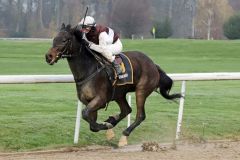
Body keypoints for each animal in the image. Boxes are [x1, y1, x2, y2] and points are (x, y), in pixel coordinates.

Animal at [45, 23, 181, 146]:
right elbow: (90, 122)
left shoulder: (100, 99)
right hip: (119, 94)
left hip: (142, 90)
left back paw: (124, 135)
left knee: (140, 115)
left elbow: (86, 115)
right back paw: (112, 121)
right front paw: (108, 125)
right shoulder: (88, 101)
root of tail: (153, 64)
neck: (89, 70)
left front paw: (106, 126)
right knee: (127, 110)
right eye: (54, 39)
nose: (48, 56)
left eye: (64, 40)